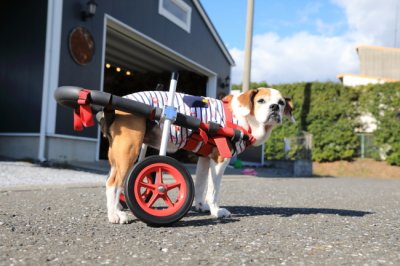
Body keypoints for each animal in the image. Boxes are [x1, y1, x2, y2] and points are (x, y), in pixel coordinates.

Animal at [102, 88, 294, 223]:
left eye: (281, 103)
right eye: (261, 100)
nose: (275, 107)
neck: (243, 119)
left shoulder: (204, 158)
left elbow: (201, 185)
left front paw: (201, 206)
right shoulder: (220, 160)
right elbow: (213, 191)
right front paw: (216, 211)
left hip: (119, 156)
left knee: (113, 181)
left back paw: (118, 207)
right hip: (129, 151)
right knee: (113, 184)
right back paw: (115, 215)